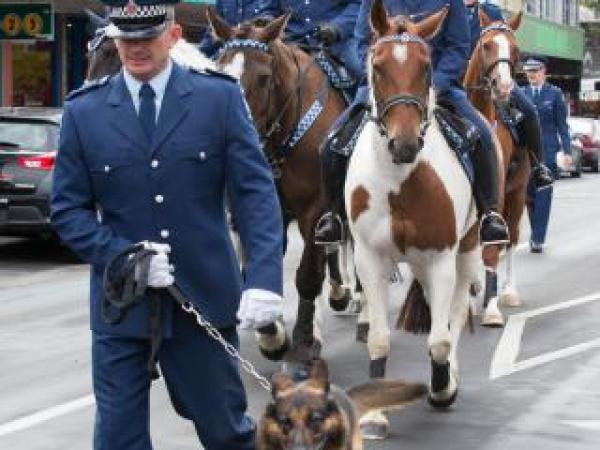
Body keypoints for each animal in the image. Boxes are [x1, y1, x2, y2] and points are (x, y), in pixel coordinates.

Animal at [207, 11, 352, 362]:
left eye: (262, 78)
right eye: (220, 71)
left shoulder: (315, 209)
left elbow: (308, 276)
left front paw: (302, 340)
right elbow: (256, 267)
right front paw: (270, 334)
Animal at [344, 0, 480, 440]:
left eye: (427, 66)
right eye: (377, 65)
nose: (404, 144)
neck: (399, 180)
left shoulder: (440, 256)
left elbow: (440, 340)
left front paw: (441, 387)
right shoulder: (369, 259)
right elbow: (379, 339)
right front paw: (374, 412)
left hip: (466, 250)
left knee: (456, 312)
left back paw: (451, 374)